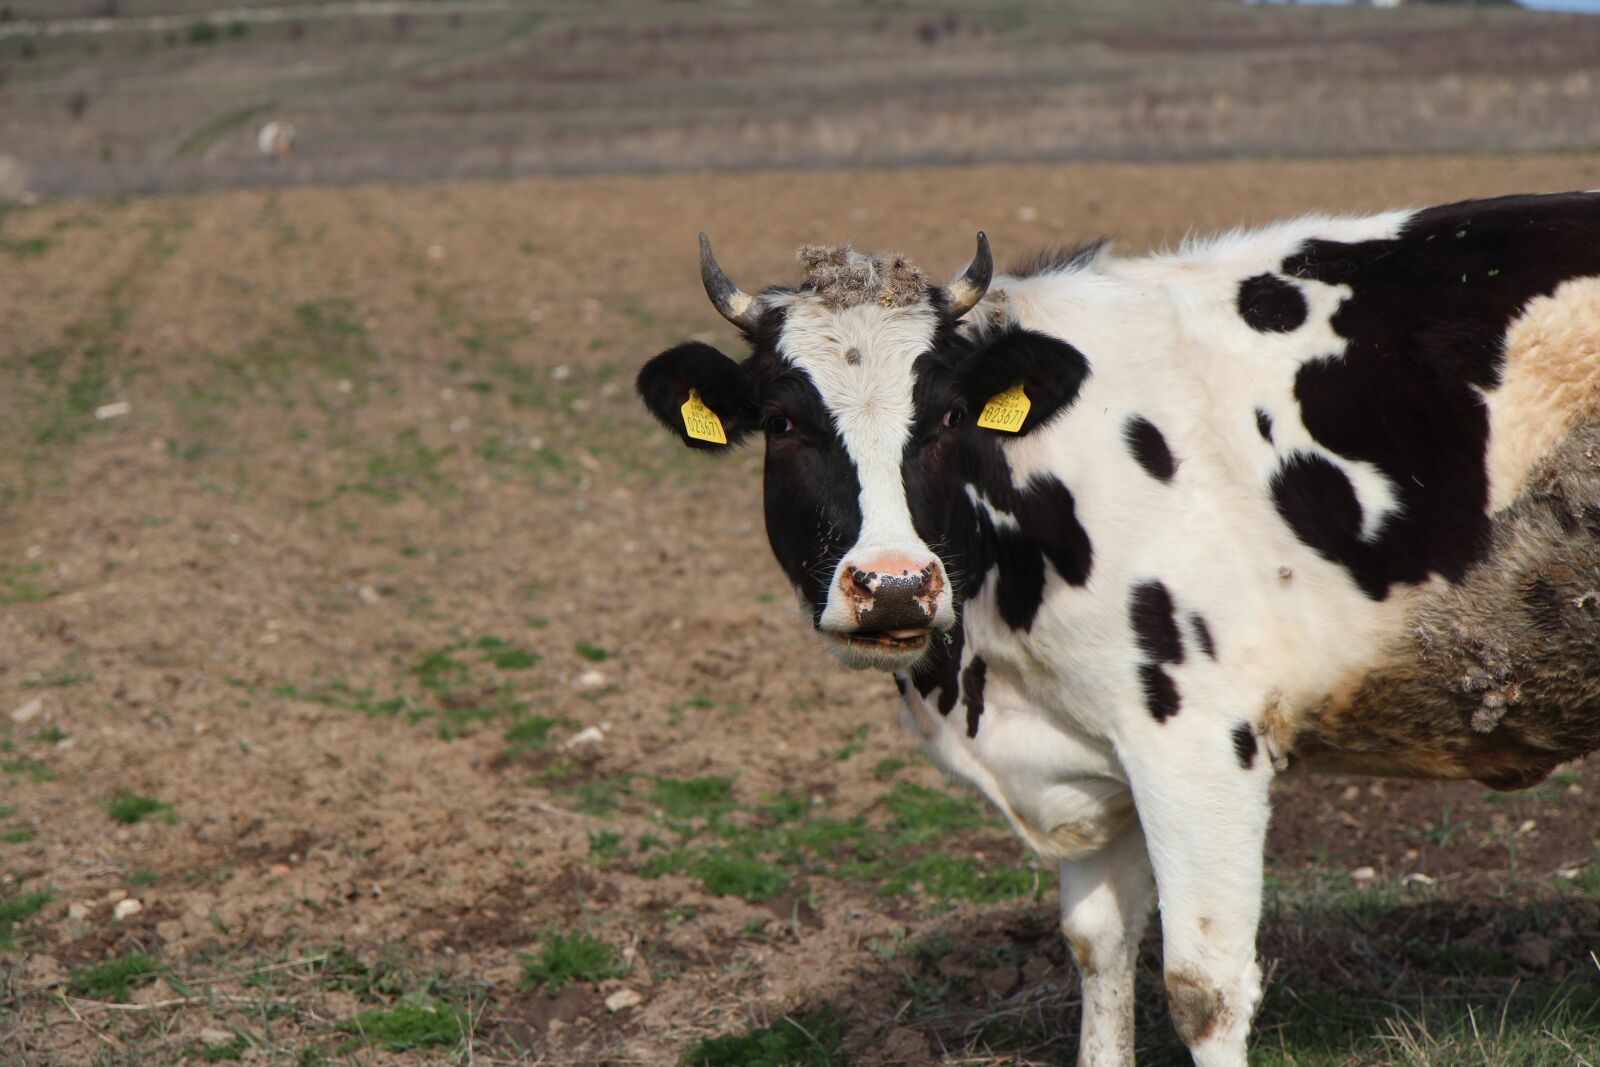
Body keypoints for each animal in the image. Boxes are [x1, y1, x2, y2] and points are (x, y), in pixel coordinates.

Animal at [635, 192, 1600, 1066]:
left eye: (946, 416)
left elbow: (1204, 989)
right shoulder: (1095, 757)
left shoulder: (1202, 744)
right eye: (784, 423)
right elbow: (1098, 946)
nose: (896, 586)